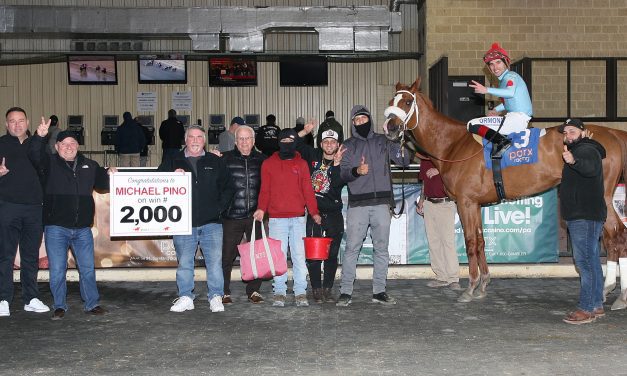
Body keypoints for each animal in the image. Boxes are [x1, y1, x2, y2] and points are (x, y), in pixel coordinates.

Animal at [388, 78, 627, 302]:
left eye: (407, 102)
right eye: (392, 101)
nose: (389, 127)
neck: (453, 144)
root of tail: (613, 133)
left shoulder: (465, 202)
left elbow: (471, 242)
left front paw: (471, 287)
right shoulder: (475, 204)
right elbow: (481, 241)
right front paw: (483, 283)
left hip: (602, 197)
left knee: (616, 236)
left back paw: (612, 292)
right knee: (614, 237)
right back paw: (610, 290)